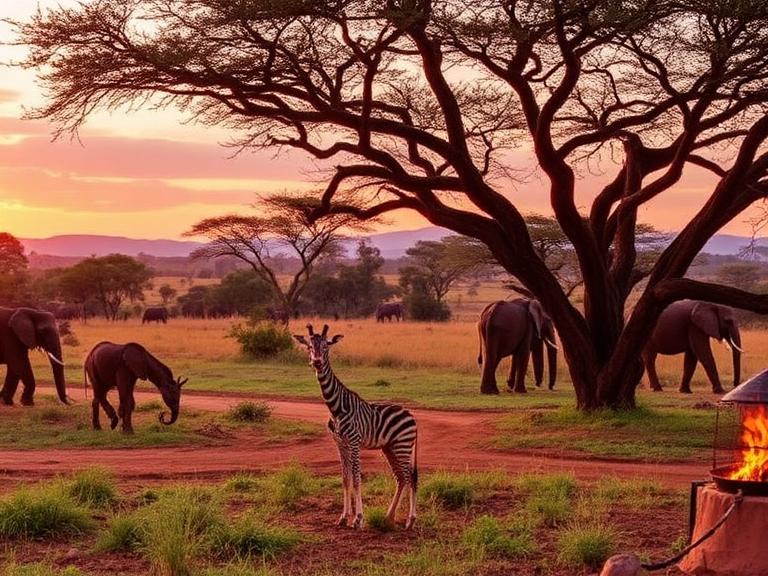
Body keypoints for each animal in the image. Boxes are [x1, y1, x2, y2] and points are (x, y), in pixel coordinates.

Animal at [293, 324, 418, 529]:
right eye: (309, 347)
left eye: (326, 347)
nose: (317, 363)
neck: (337, 407)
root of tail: (411, 415)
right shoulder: (340, 444)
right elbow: (346, 479)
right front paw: (344, 517)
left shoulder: (354, 442)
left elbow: (357, 478)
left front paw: (358, 518)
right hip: (390, 448)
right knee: (400, 478)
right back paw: (389, 517)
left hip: (403, 446)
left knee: (410, 477)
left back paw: (410, 520)